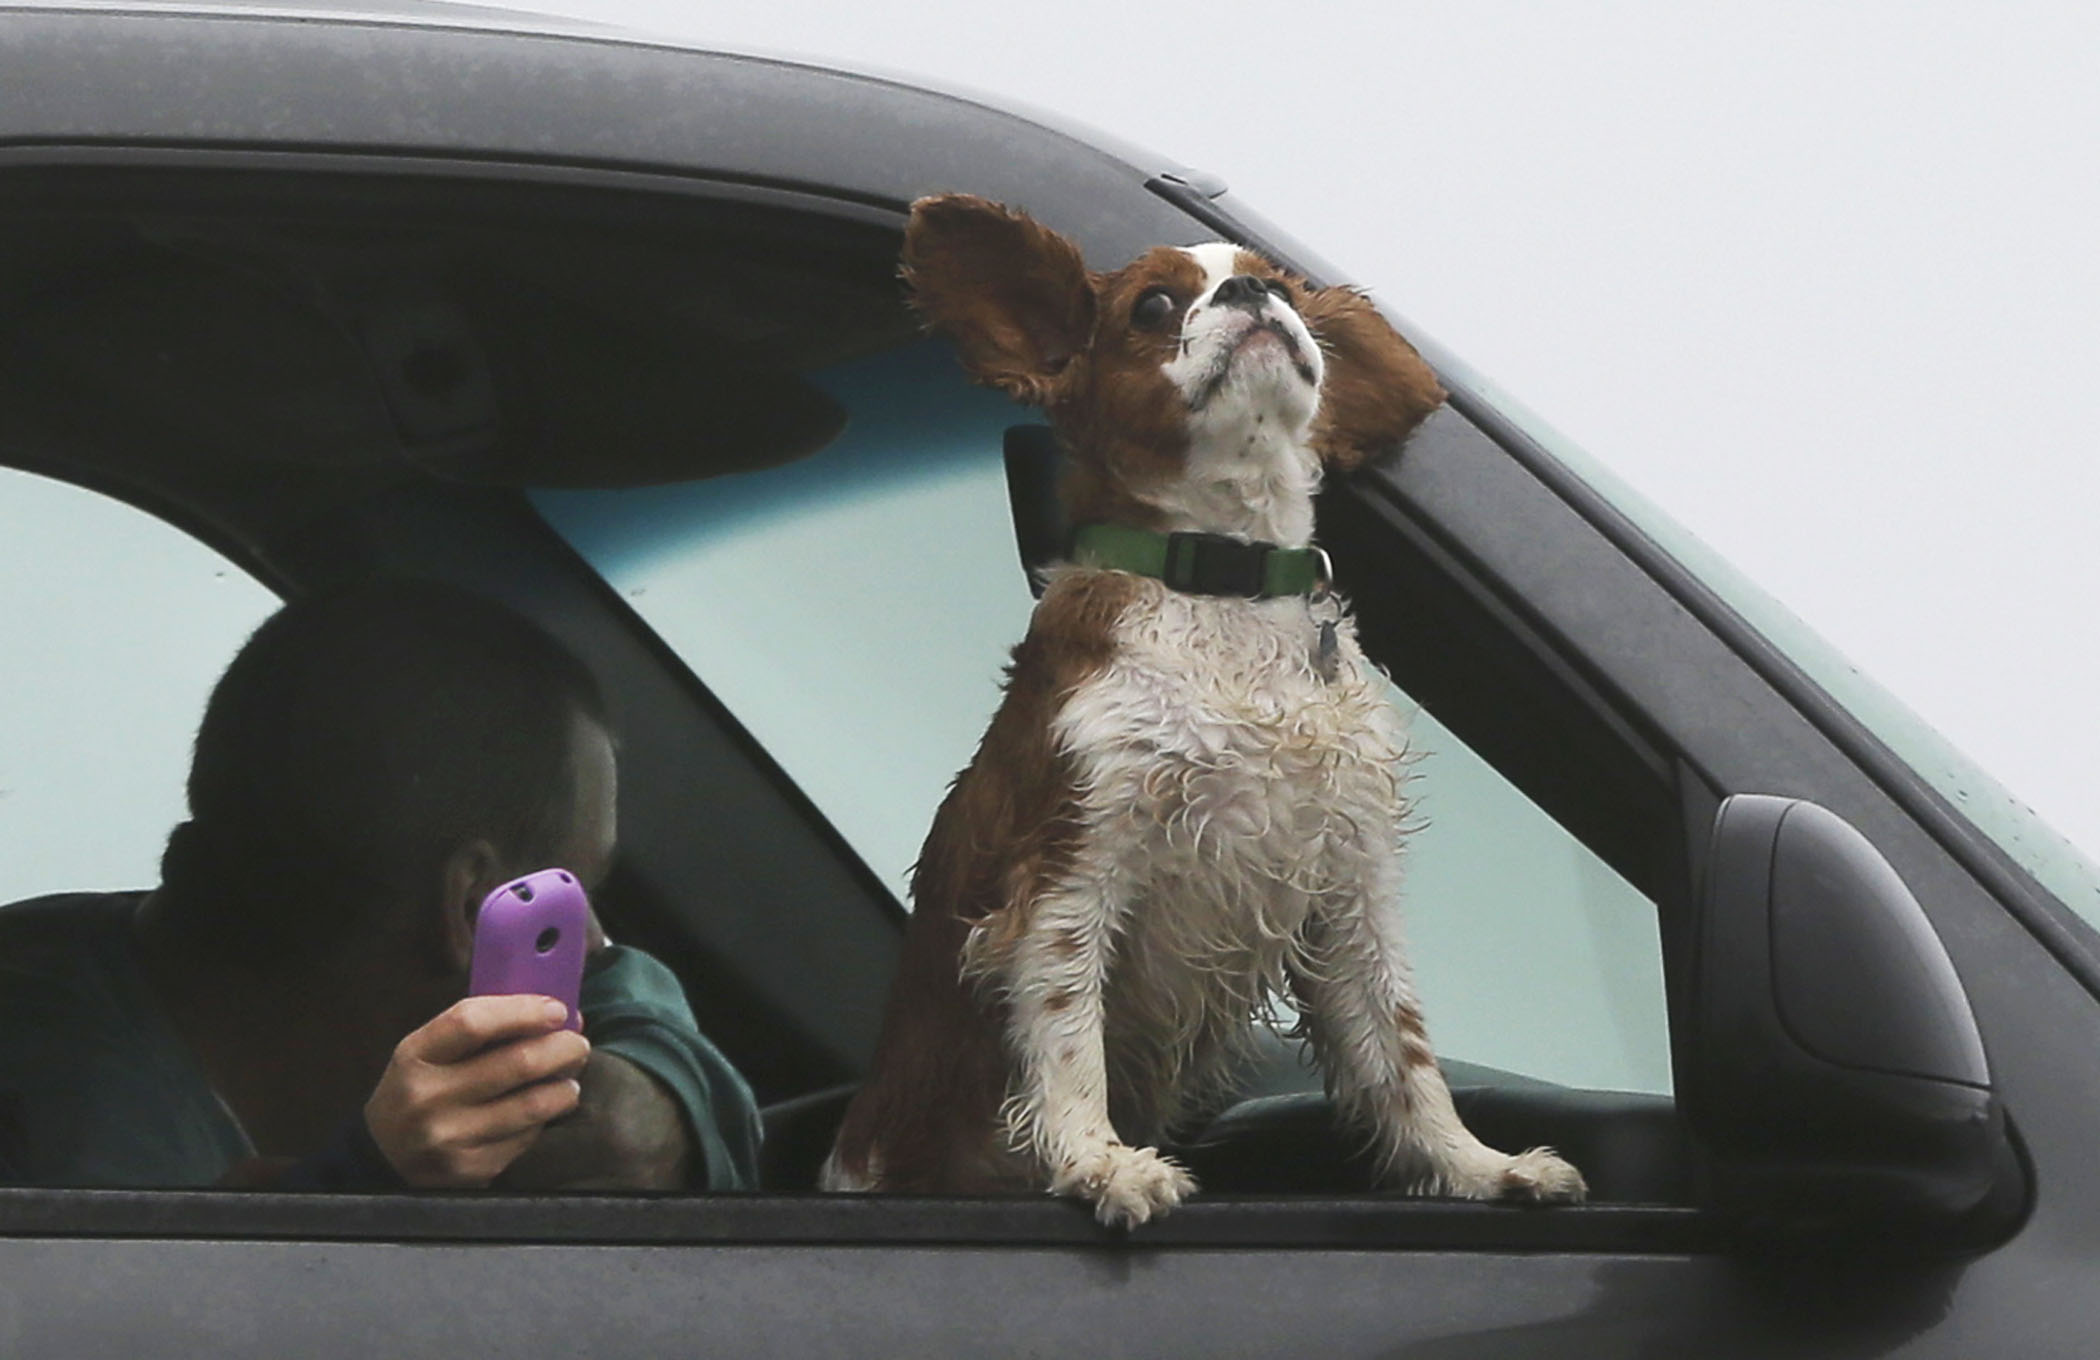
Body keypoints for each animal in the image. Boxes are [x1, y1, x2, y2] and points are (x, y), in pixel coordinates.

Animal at [810, 196, 1579, 1225]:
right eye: (1153, 306)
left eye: (1280, 281)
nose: (1253, 291)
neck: (1226, 583)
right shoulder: (1068, 865)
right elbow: (1068, 1029)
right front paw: (1101, 1163)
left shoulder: (1347, 884)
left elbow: (1399, 1047)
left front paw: (1473, 1166)